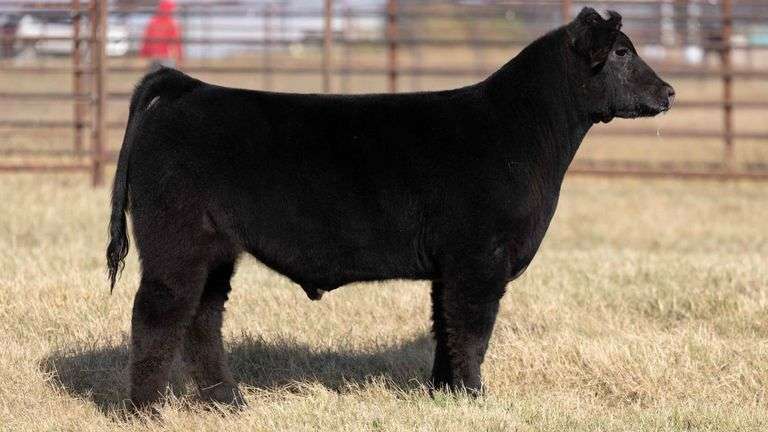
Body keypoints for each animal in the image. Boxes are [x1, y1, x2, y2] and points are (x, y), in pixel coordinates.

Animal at [106, 7, 674, 409]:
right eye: (621, 52)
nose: (668, 91)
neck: (522, 131)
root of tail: (191, 87)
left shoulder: (450, 265)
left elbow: (445, 327)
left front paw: (445, 395)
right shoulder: (479, 258)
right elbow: (472, 328)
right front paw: (476, 398)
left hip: (216, 248)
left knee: (203, 317)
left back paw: (227, 403)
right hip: (174, 240)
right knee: (157, 313)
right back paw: (144, 411)